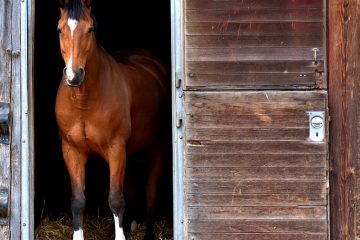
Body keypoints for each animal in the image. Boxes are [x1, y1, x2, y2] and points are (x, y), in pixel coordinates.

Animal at [55, 0, 169, 239]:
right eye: (60, 30)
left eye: (90, 29)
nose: (74, 75)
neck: (84, 101)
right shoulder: (71, 150)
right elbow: (77, 201)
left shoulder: (116, 149)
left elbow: (116, 200)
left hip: (155, 148)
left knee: (150, 190)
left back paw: (148, 232)